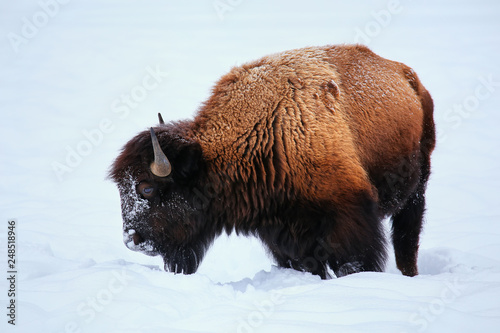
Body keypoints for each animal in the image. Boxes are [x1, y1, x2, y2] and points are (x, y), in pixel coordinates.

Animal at [108, 44, 434, 278]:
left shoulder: (349, 218)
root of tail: (408, 77)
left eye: (146, 188)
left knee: (407, 239)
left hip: (417, 190)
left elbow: (353, 262)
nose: (131, 239)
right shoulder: (283, 235)